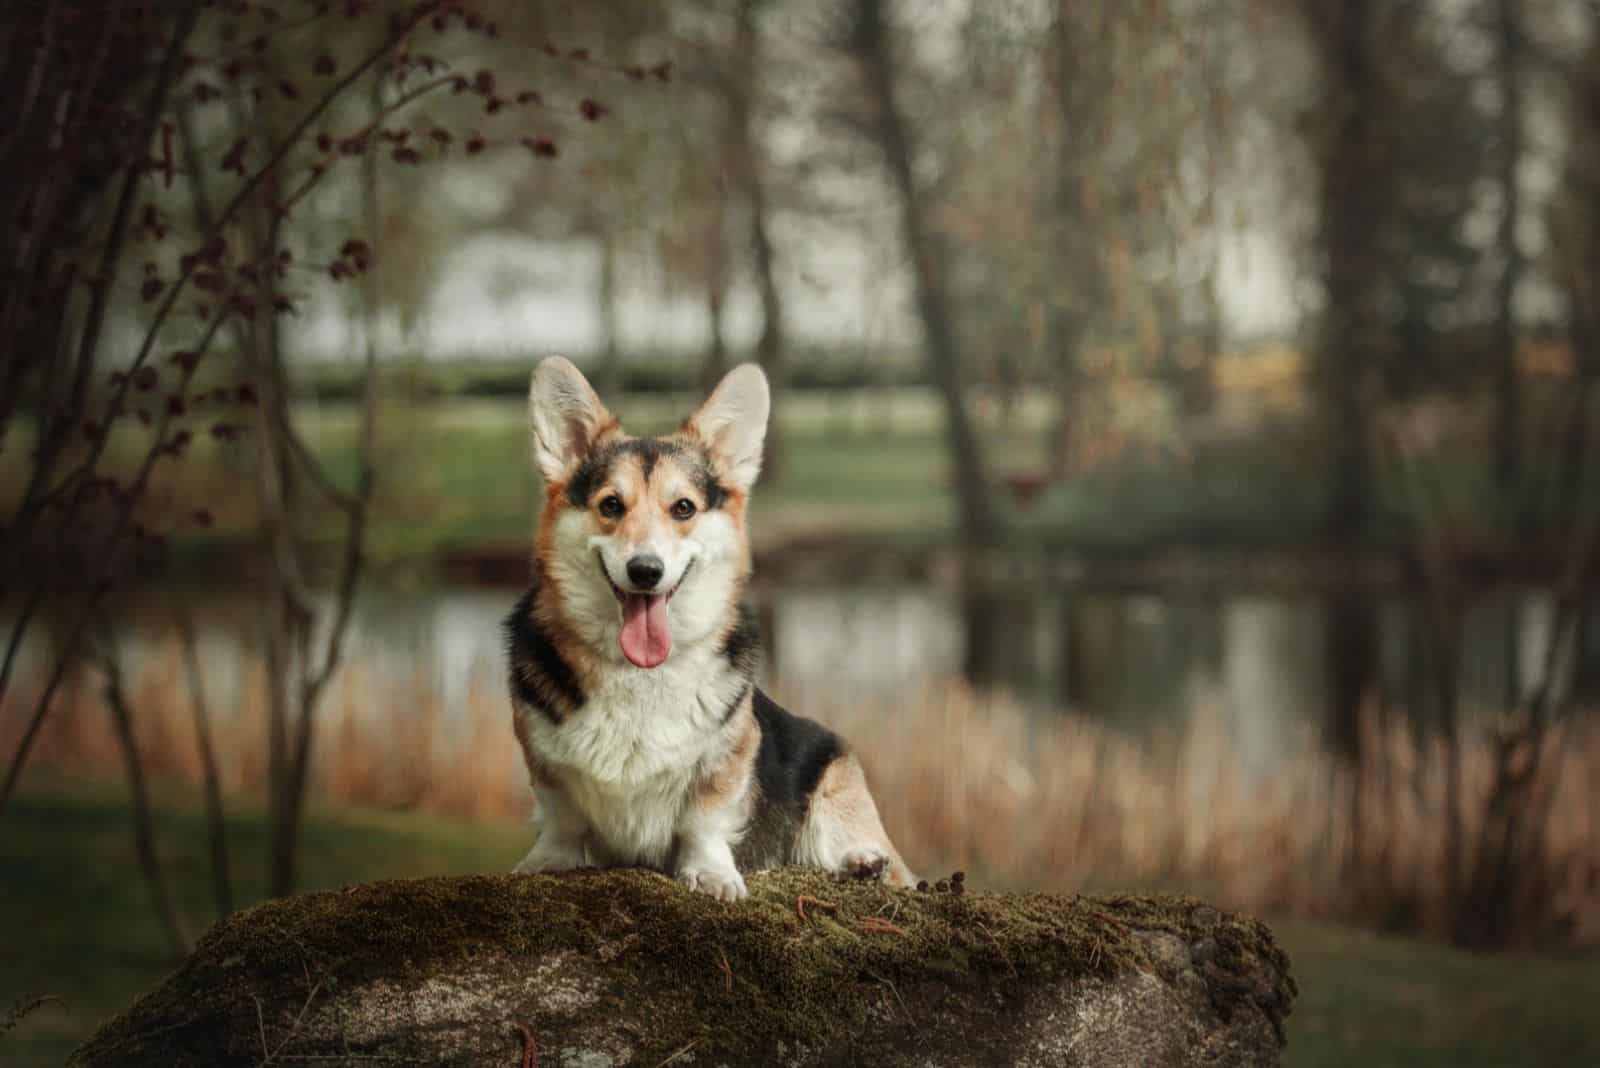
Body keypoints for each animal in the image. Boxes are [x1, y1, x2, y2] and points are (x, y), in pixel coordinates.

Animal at [512, 358, 915, 901]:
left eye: (683, 507)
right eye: (611, 505)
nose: (645, 570)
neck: (640, 673)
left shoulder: (727, 757)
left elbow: (703, 819)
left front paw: (711, 874)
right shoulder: (544, 763)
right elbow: (562, 819)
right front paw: (547, 863)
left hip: (835, 783)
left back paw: (863, 862)